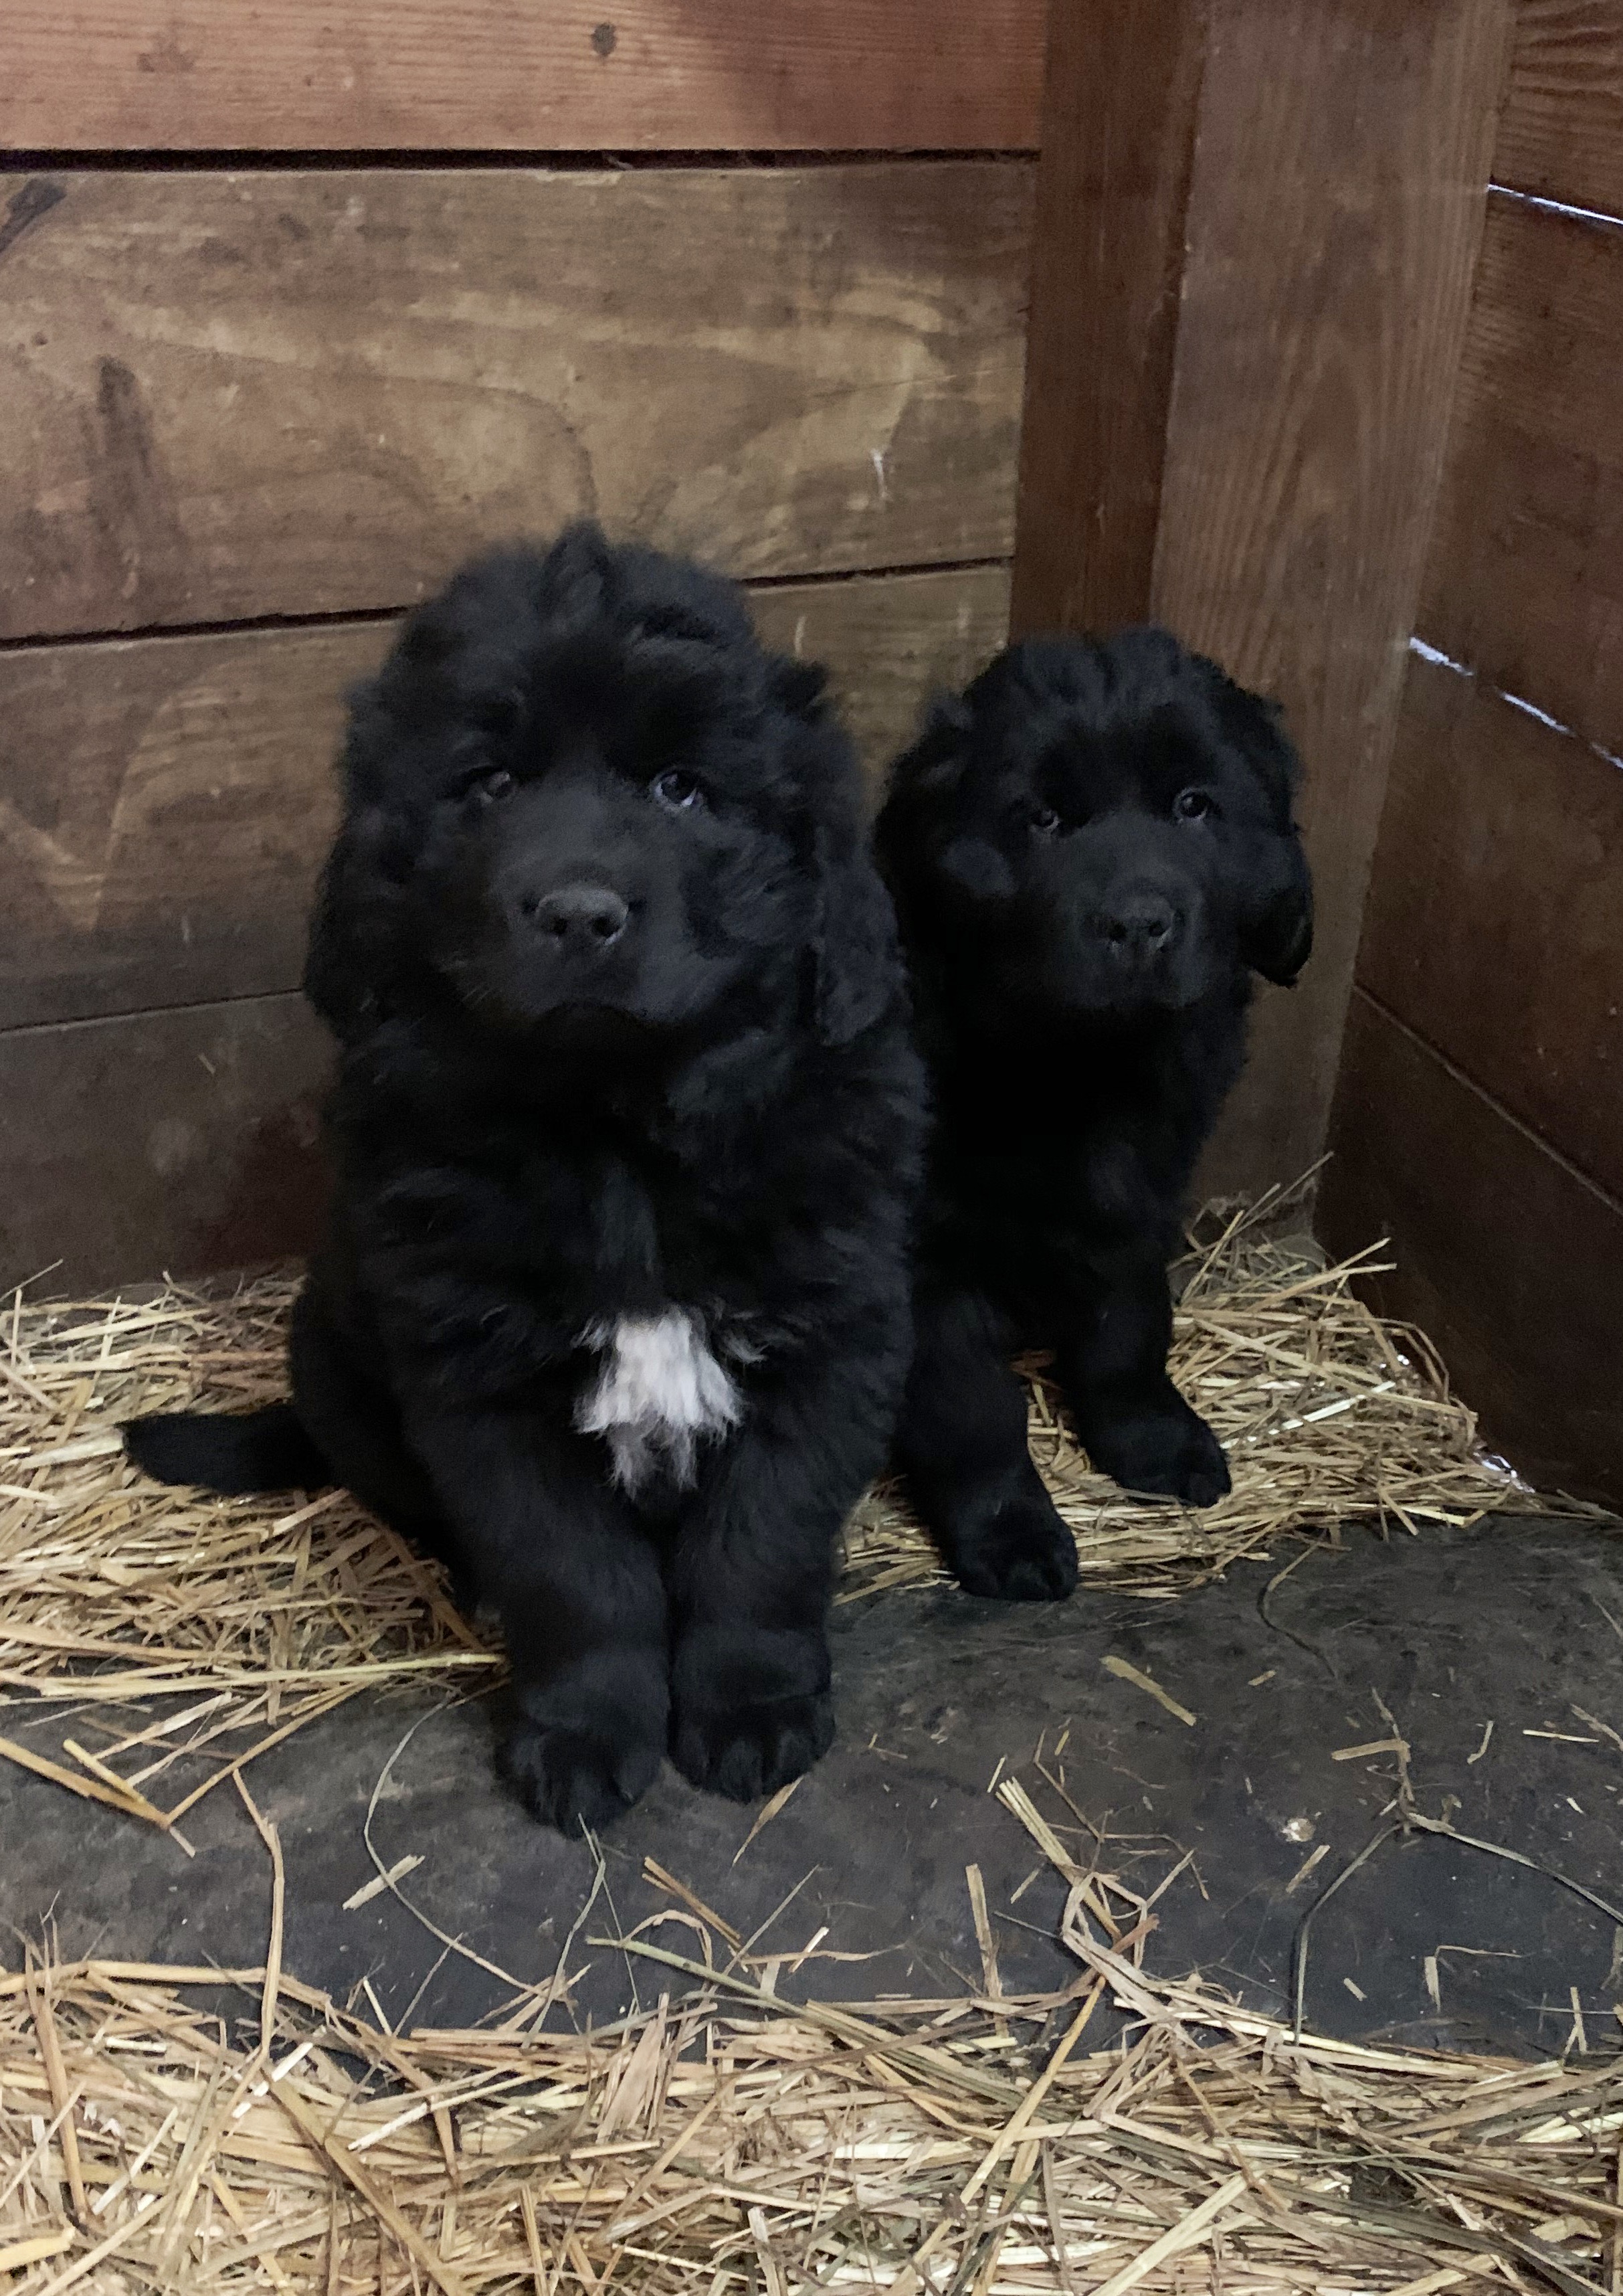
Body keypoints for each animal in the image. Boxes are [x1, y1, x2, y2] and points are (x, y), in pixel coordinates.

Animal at [126, 528, 927, 1836]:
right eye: (490, 785)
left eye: (682, 789)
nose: (579, 913)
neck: (613, 1133)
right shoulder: (482, 1385)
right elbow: (575, 1576)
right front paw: (586, 1734)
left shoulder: (828, 1343)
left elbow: (758, 1546)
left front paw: (752, 1709)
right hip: (338, 1365)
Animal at [876, 624, 1304, 1597]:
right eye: (1040, 819)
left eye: (1194, 806)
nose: (1138, 923)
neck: (1076, 1066)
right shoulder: (923, 1262)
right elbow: (970, 1409)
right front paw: (1010, 1529)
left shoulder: (1134, 1205)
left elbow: (1127, 1333)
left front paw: (1155, 1440)